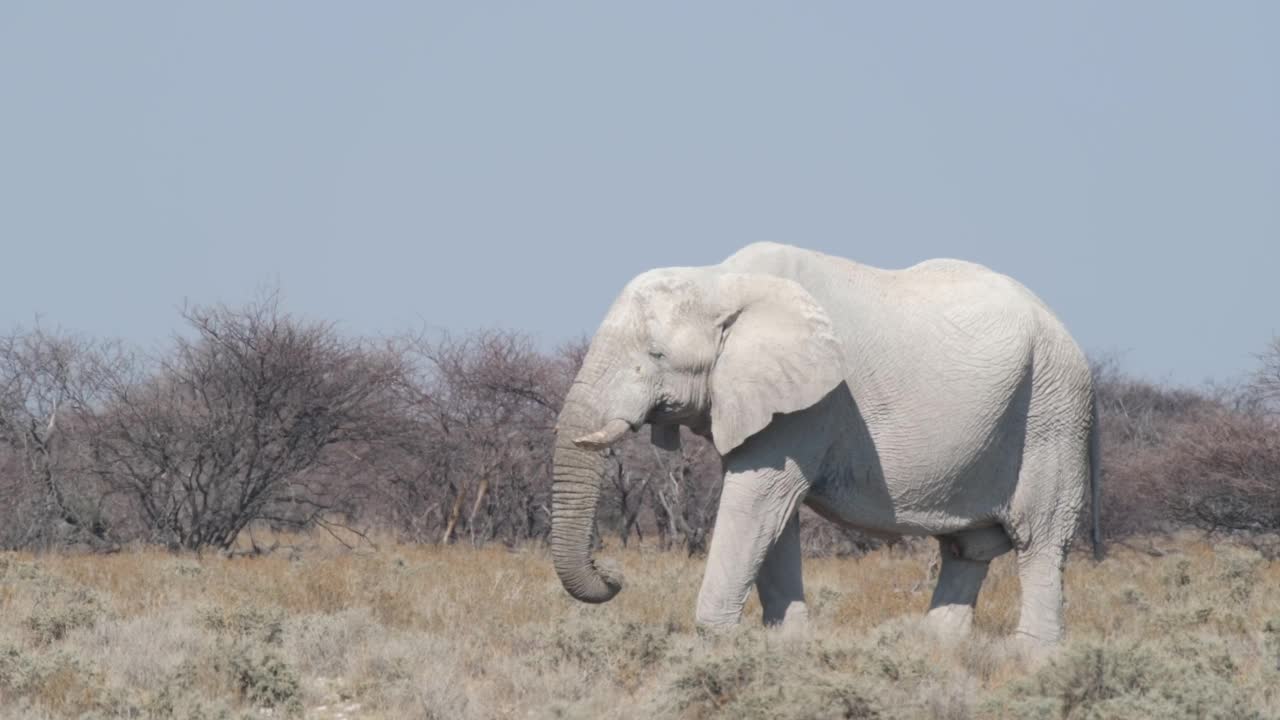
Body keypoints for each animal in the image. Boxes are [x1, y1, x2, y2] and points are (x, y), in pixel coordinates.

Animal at [550, 240, 1100, 645]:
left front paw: (713, 643)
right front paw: (788, 644)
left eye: (656, 354)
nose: (614, 573)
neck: (721, 280)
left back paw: (1031, 658)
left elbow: (758, 500)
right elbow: (774, 518)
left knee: (1040, 537)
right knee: (969, 547)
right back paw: (934, 648)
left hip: (1053, 408)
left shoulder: (812, 403)